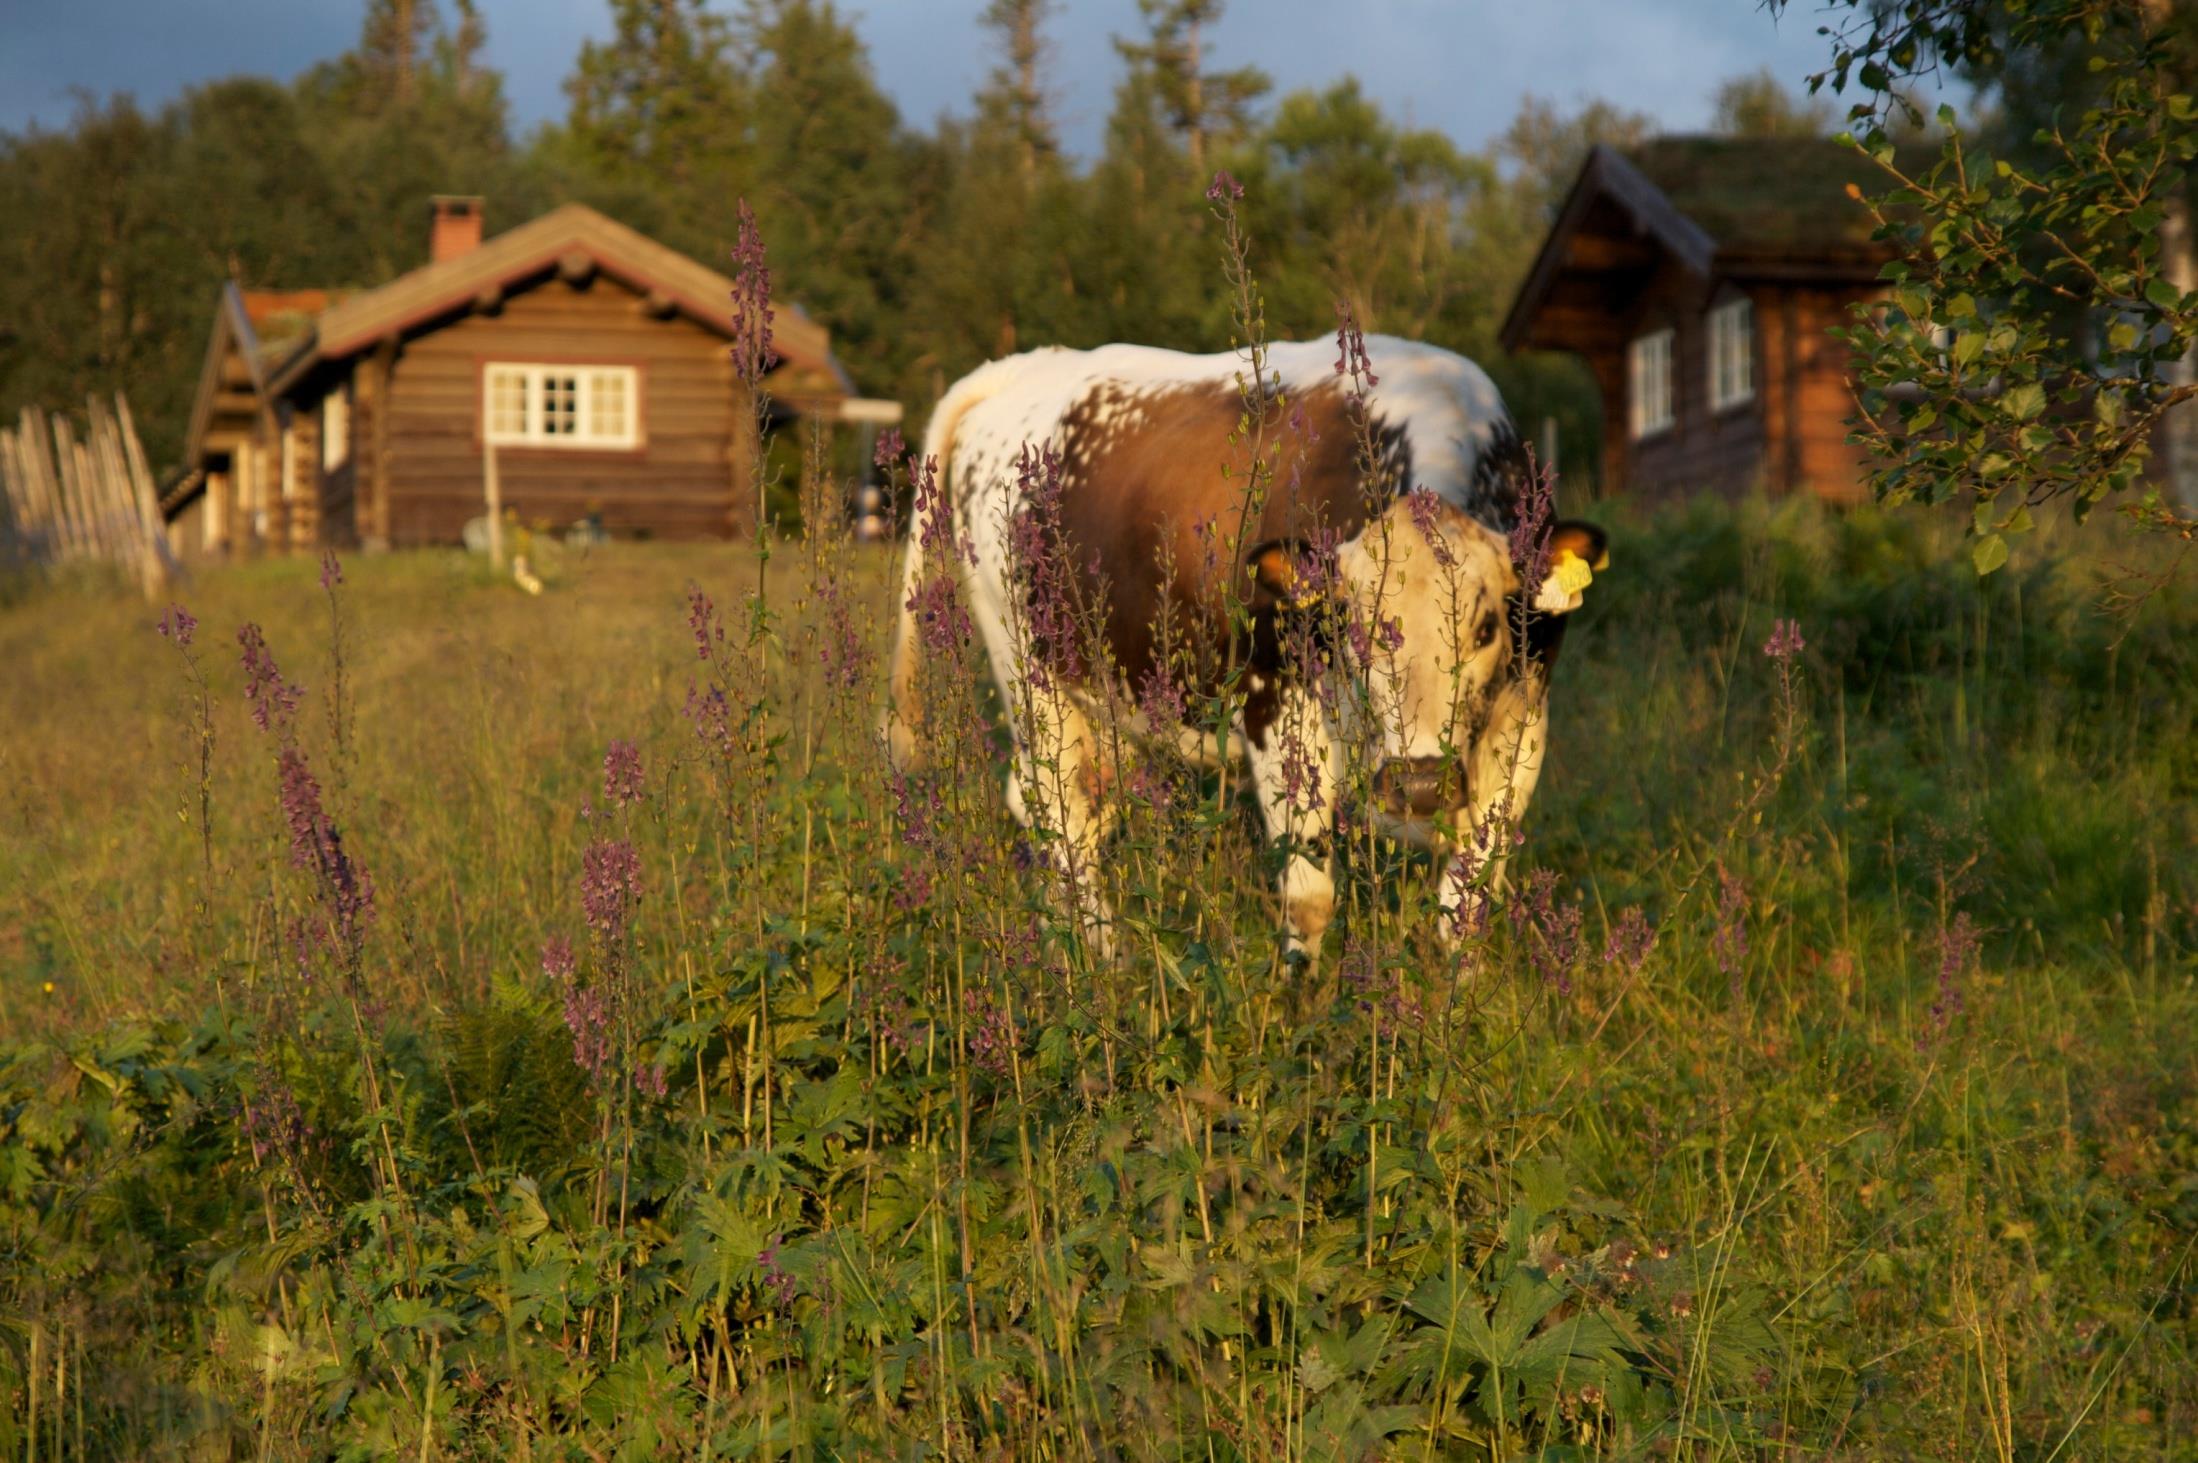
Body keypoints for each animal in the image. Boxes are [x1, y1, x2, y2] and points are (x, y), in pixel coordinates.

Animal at [883, 333, 1608, 953]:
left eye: (1486, 627)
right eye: (1356, 623)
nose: (1421, 782)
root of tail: (1027, 368)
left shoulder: (1524, 723)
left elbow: (1468, 904)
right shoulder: (1277, 710)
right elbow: (1309, 898)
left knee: (1057, 806)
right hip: (1029, 678)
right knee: (1062, 812)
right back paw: (1102, 961)